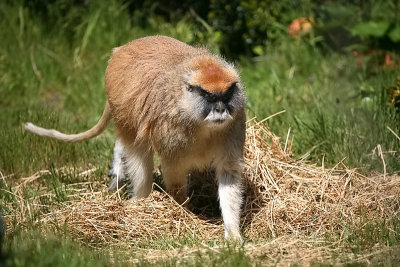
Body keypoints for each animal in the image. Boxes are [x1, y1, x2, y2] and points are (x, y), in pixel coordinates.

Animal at [24, 34, 247, 242]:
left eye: (226, 96)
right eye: (210, 98)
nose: (220, 110)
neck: (194, 115)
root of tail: (122, 49)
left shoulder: (234, 125)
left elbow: (228, 173)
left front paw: (233, 235)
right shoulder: (172, 133)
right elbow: (173, 170)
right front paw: (183, 213)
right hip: (123, 107)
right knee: (138, 152)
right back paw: (138, 202)